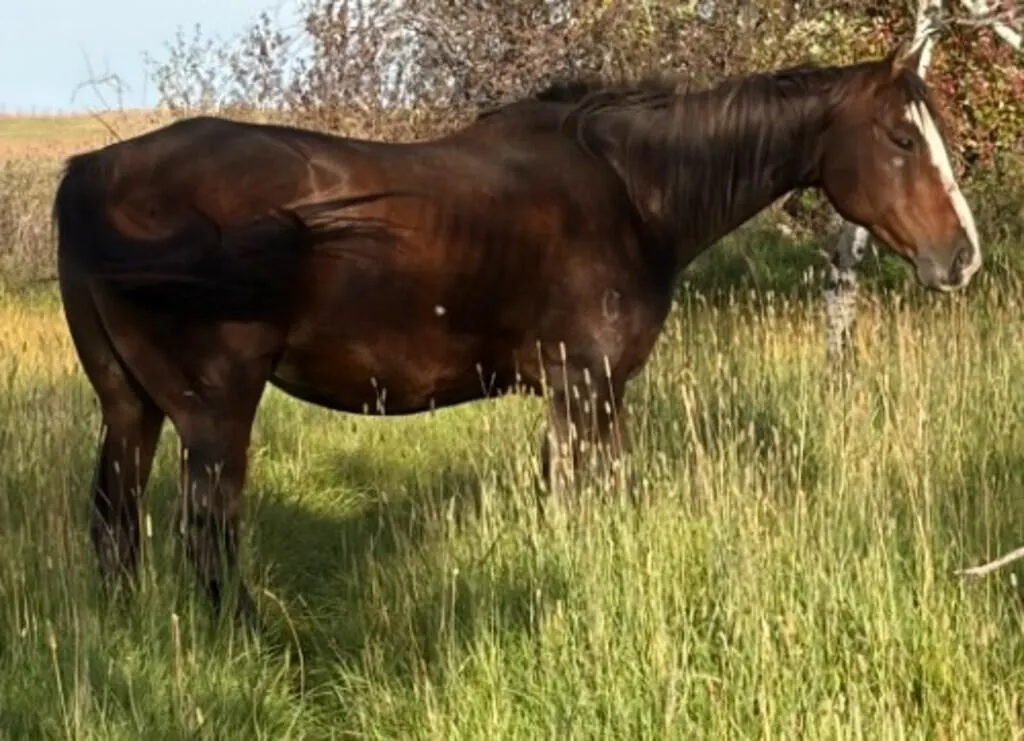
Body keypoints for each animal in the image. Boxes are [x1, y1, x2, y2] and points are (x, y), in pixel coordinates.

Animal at [53, 39, 981, 624]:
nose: (962, 256)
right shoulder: (588, 387)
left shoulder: (577, 395)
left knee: (115, 527)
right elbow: (586, 499)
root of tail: (92, 172)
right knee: (206, 538)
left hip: (129, 406)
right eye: (902, 137)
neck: (629, 191)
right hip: (214, 413)